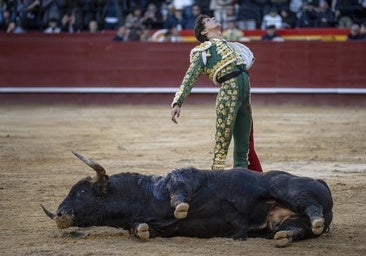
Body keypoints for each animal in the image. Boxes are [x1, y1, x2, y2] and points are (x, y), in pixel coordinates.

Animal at [41, 152, 334, 246]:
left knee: (311, 206)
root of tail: (321, 181)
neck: (144, 195)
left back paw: (316, 219)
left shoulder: (185, 178)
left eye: (80, 192)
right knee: (297, 228)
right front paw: (142, 230)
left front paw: (180, 207)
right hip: (283, 221)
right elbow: (139, 228)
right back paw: (285, 236)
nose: (60, 215)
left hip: (289, 189)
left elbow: (179, 191)